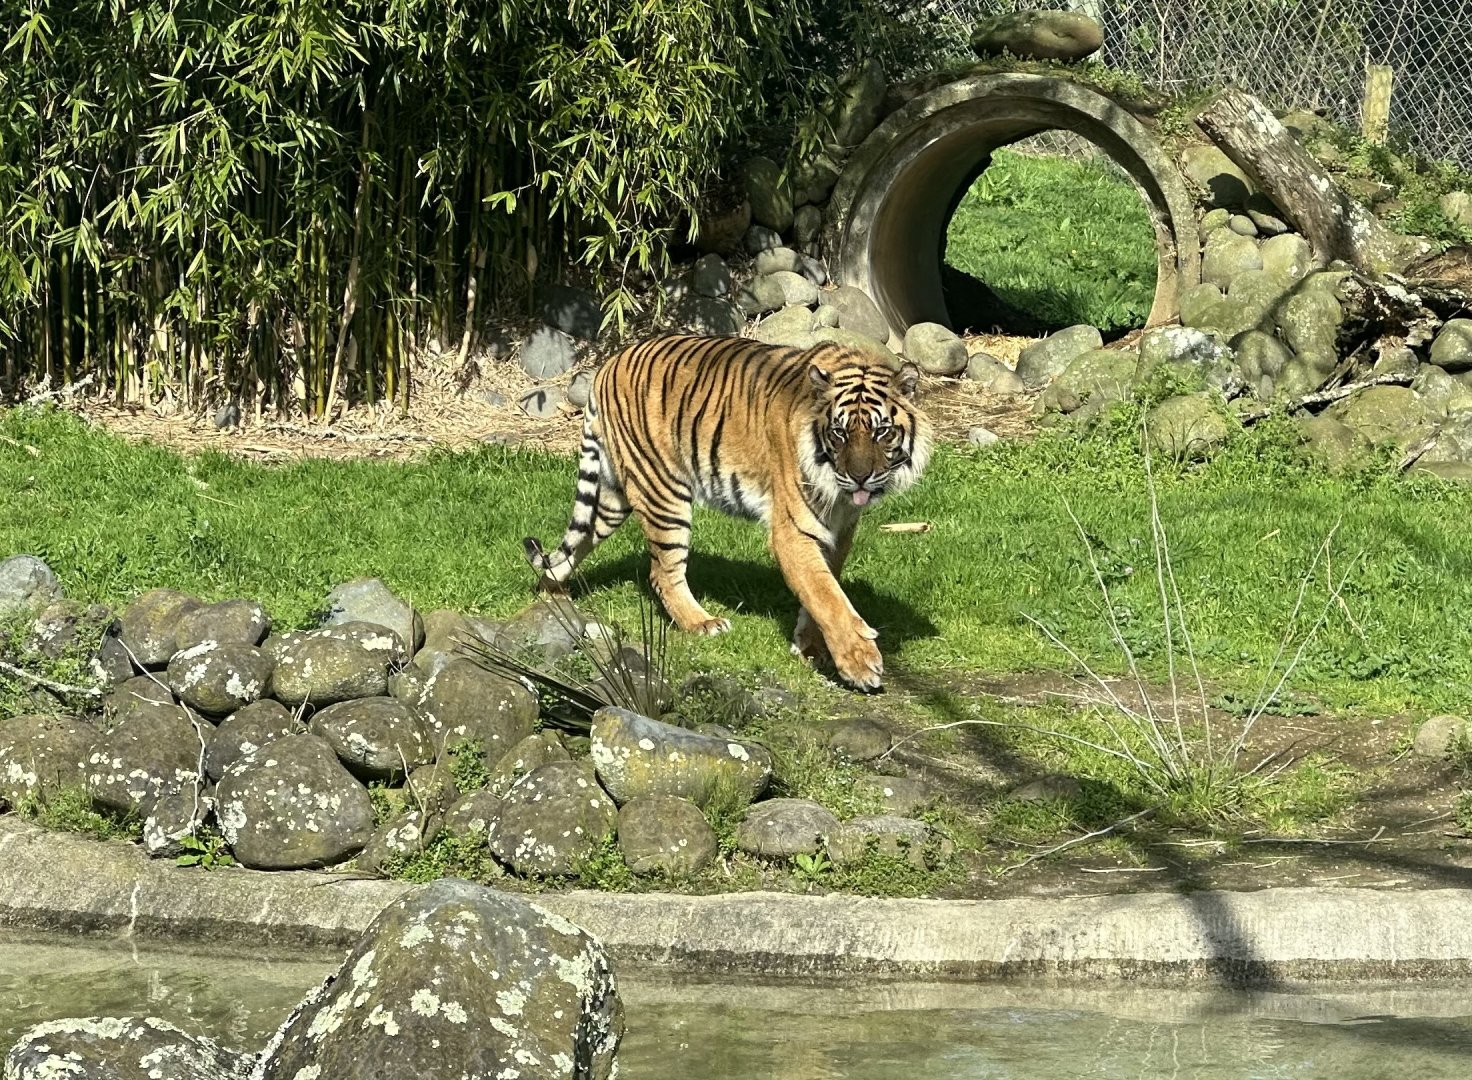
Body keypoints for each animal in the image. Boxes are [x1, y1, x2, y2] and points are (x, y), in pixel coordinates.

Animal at [523, 332, 933, 691]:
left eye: (882, 433)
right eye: (839, 433)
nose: (860, 478)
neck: (838, 492)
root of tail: (610, 363)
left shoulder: (839, 530)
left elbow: (822, 590)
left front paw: (810, 646)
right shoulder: (793, 530)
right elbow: (827, 597)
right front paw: (860, 664)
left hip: (614, 495)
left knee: (578, 540)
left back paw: (552, 597)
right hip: (663, 492)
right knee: (662, 572)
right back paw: (701, 623)